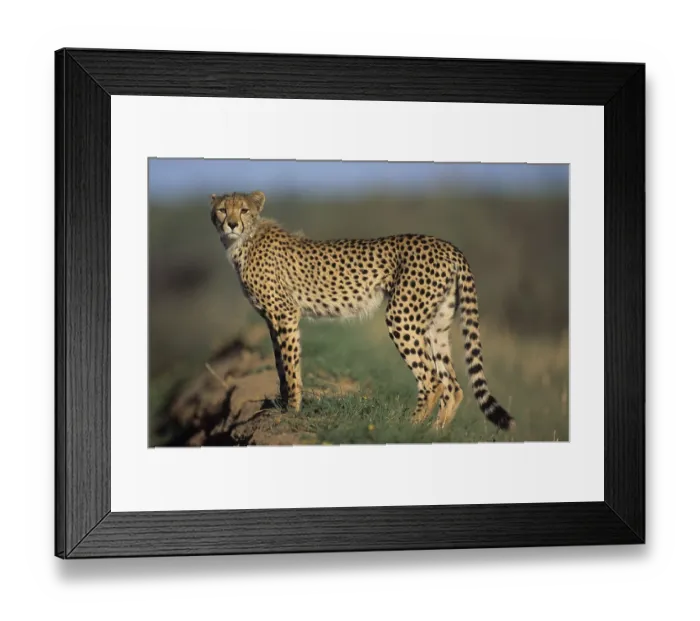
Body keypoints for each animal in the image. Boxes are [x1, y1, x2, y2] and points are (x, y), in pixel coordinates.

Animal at [210, 190, 514, 431]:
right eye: (222, 209)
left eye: (244, 210)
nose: (232, 224)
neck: (243, 242)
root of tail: (448, 246)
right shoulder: (273, 320)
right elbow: (280, 365)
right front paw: (283, 406)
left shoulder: (285, 314)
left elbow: (290, 365)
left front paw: (291, 412)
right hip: (436, 325)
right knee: (453, 385)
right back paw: (433, 433)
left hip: (401, 317)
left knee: (432, 381)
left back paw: (408, 427)